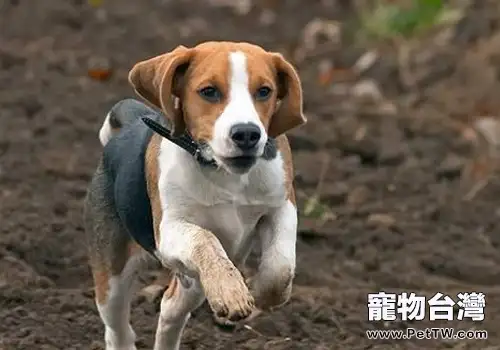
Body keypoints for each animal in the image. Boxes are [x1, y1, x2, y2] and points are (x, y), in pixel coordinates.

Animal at [84, 41, 304, 350]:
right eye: (209, 91)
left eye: (264, 91)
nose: (247, 134)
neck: (223, 172)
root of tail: (128, 124)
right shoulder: (170, 229)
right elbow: (204, 238)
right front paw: (231, 292)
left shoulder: (282, 205)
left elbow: (280, 268)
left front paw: (261, 293)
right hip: (112, 273)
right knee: (117, 328)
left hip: (193, 283)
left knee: (170, 306)